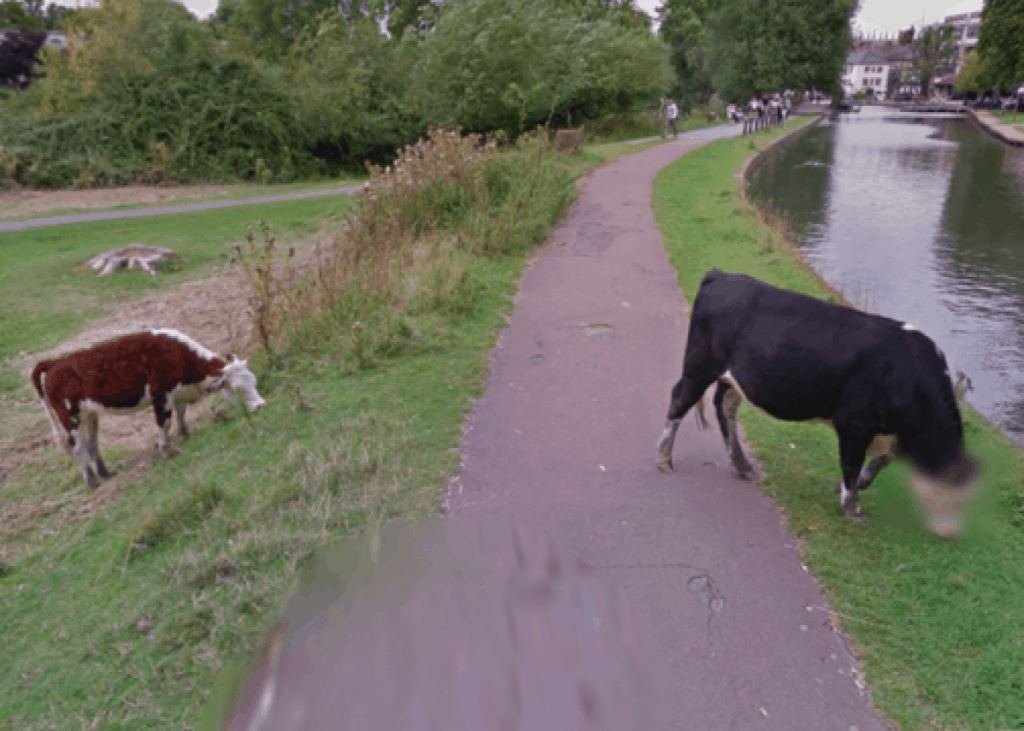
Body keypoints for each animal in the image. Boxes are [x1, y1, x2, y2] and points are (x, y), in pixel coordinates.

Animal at [32, 327, 266, 487]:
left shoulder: (177, 394)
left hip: (89, 414)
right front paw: (166, 450)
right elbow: (165, 422)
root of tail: (54, 363)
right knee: (77, 446)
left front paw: (185, 435)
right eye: (237, 389)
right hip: (70, 416)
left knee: (91, 442)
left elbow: (181, 414)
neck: (176, 354)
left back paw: (105, 473)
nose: (261, 405)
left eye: (254, 381)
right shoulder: (160, 396)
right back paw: (92, 481)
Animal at [659, 268, 978, 536]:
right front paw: (853, 509)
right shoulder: (854, 423)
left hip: (732, 378)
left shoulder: (888, 431)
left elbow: (881, 460)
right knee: (679, 400)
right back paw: (664, 459)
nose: (950, 534)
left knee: (725, 409)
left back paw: (742, 465)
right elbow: (851, 464)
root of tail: (722, 275)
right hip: (699, 366)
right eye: (951, 497)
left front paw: (856, 485)